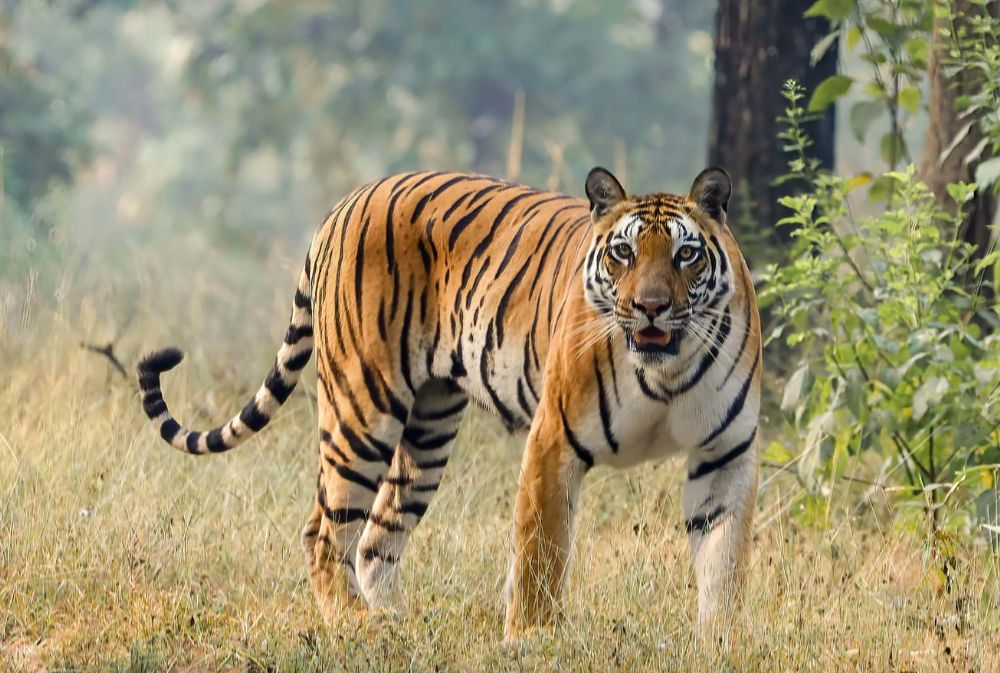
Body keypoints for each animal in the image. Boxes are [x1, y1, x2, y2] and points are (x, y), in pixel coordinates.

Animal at [137, 166, 762, 638]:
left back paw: (396, 623)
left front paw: (719, 645)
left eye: (685, 255)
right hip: (362, 409)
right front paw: (533, 641)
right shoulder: (553, 440)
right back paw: (354, 625)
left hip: (428, 429)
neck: (665, 371)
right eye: (624, 253)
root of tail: (344, 203)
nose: (651, 307)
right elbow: (540, 553)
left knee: (376, 537)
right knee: (324, 530)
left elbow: (724, 563)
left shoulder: (725, 455)